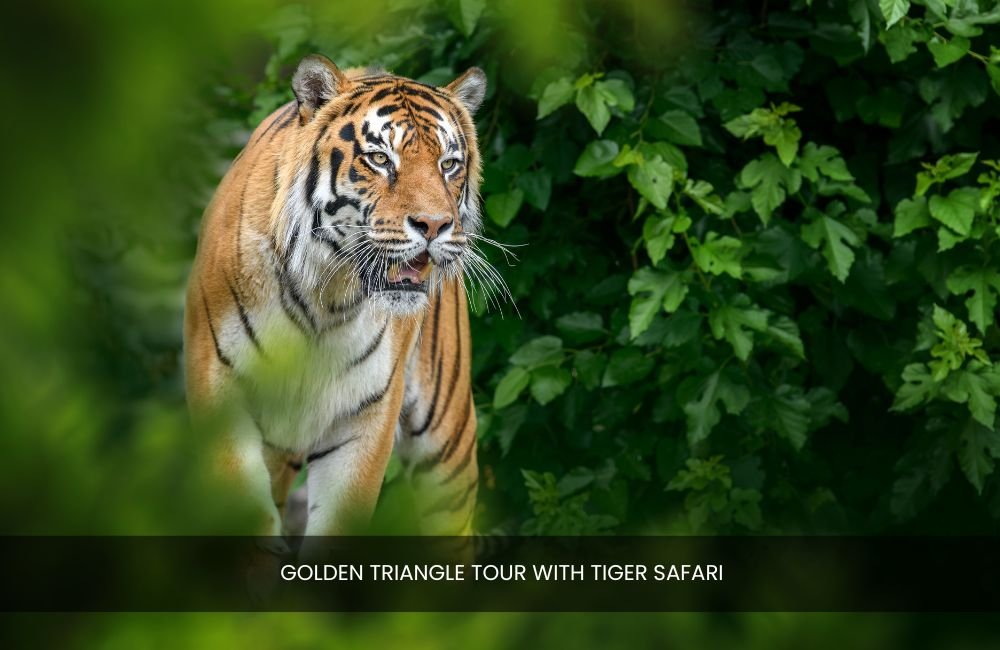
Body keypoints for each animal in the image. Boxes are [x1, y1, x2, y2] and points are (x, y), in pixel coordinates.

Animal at [184, 54, 487, 557]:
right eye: (380, 159)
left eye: (449, 164)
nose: (435, 224)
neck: (325, 298)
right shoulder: (222, 396)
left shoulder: (365, 416)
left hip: (448, 446)